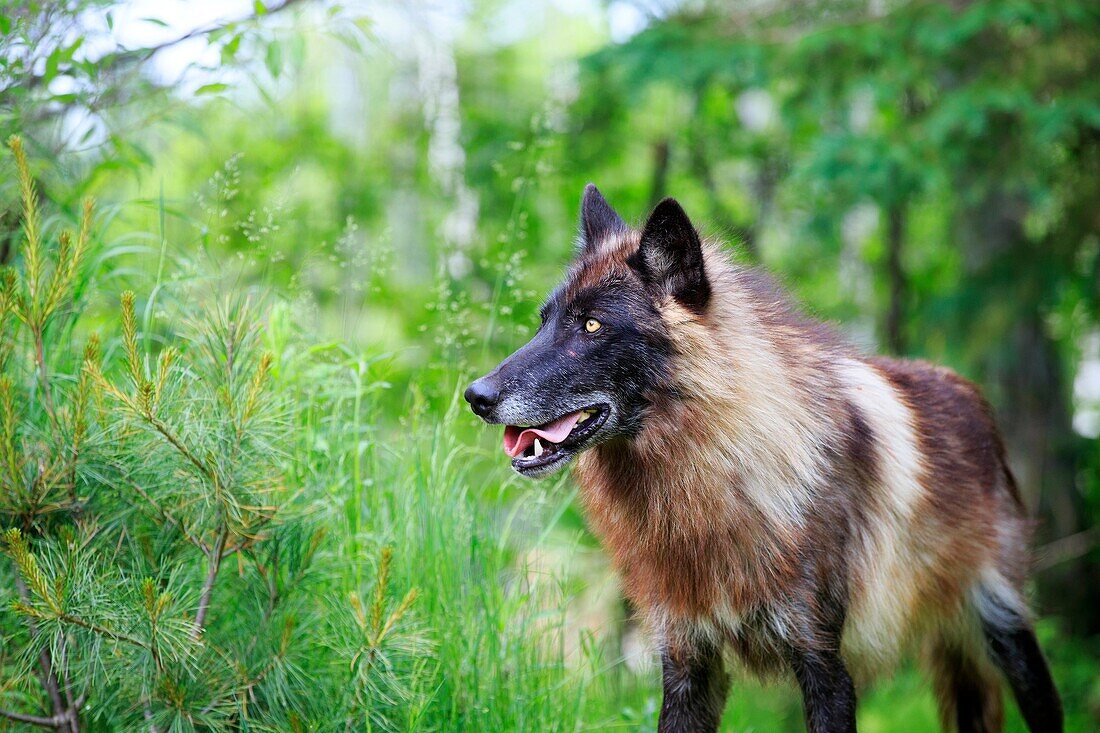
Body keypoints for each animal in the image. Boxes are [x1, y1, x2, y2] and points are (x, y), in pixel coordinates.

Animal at [462, 186, 1056, 726]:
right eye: (543, 321)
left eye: (591, 326)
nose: (476, 396)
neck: (707, 479)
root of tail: (971, 395)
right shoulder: (686, 663)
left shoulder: (824, 663)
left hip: (1007, 634)